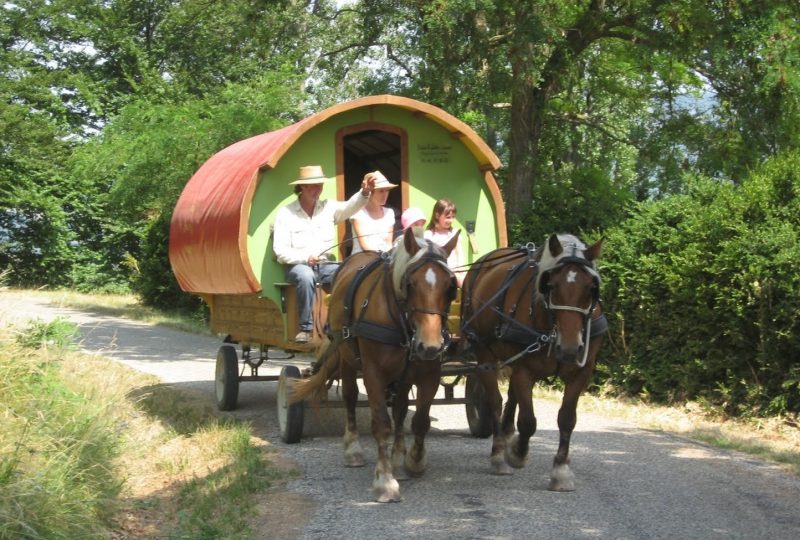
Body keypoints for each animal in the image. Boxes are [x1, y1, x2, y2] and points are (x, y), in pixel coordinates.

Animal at [290, 225, 460, 502]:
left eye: (450, 286)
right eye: (410, 284)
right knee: (349, 397)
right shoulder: (373, 373)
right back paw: (353, 450)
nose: (430, 346)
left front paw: (414, 461)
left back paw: (398, 456)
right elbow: (381, 424)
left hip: (403, 375)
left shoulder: (428, 374)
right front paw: (385, 480)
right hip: (347, 359)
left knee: (400, 409)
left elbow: (419, 421)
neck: (403, 322)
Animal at [456, 232, 608, 490]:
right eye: (551, 286)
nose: (569, 349)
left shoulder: (581, 372)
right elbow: (528, 421)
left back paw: (507, 433)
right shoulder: (525, 369)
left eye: (591, 288)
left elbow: (567, 419)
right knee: (495, 401)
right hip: (484, 352)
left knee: (511, 396)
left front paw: (561, 470)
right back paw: (499, 454)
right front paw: (517, 453)